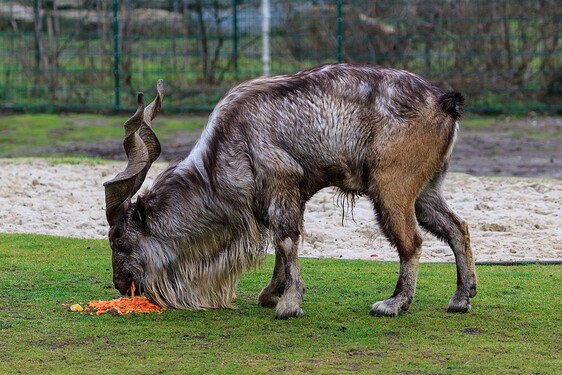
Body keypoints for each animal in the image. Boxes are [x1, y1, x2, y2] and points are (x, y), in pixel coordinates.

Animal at [104, 63, 472, 318]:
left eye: (119, 240)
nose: (121, 285)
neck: (228, 142)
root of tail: (443, 102)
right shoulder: (290, 195)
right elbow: (282, 242)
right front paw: (273, 293)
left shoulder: (281, 183)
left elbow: (285, 239)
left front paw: (289, 303)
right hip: (426, 190)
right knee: (457, 227)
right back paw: (461, 297)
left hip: (391, 187)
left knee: (412, 242)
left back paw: (395, 303)